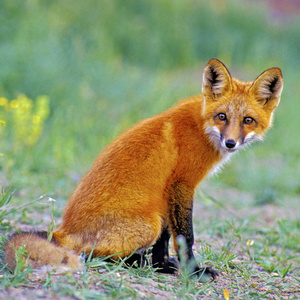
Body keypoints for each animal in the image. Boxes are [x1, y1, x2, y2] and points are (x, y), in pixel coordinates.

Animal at [3, 58, 282, 282]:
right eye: (222, 116)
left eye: (248, 120)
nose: (230, 143)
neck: (201, 127)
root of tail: (64, 231)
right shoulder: (181, 185)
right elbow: (185, 237)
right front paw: (193, 272)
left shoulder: (167, 193)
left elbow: (165, 240)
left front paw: (162, 265)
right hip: (148, 223)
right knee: (89, 254)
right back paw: (134, 262)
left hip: (153, 216)